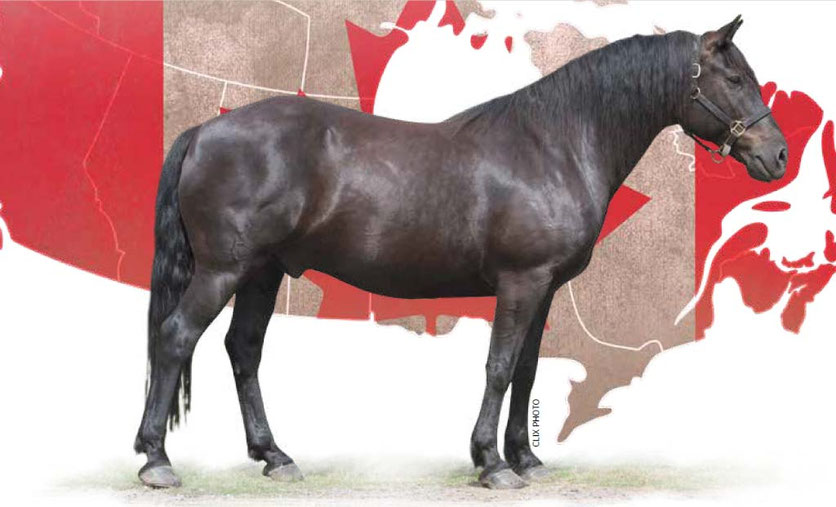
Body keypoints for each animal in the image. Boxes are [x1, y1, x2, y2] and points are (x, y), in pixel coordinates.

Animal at [134, 16, 787, 490]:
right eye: (734, 79)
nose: (778, 156)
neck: (553, 145)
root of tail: (204, 131)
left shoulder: (544, 288)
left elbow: (525, 369)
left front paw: (525, 458)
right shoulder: (521, 282)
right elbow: (498, 367)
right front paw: (492, 464)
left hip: (263, 272)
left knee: (243, 350)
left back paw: (274, 456)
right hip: (223, 270)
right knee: (176, 337)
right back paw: (156, 460)